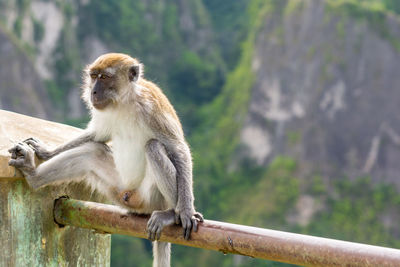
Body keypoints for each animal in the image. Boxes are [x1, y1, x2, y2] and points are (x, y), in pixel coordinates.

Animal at [8, 52, 205, 267]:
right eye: (94, 76)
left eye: (105, 77)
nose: (93, 91)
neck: (125, 102)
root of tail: (132, 196)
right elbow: (97, 136)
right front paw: (45, 151)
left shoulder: (152, 109)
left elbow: (178, 150)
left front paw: (186, 211)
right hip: (119, 189)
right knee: (92, 152)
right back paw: (32, 174)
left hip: (150, 198)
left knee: (153, 147)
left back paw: (171, 214)